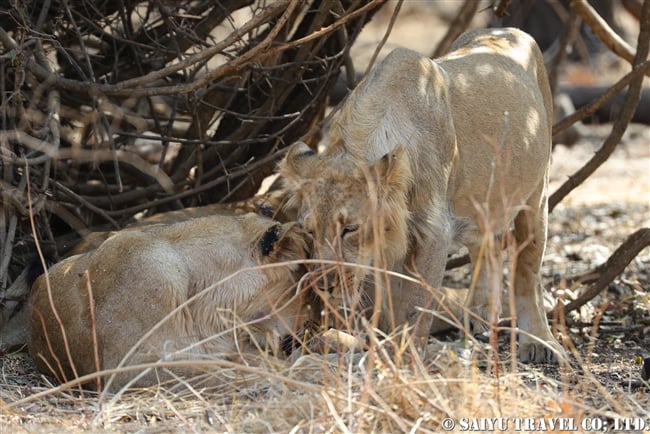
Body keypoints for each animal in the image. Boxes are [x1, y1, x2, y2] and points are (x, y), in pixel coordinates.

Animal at [280, 28, 560, 362]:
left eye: (350, 229)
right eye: (309, 231)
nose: (324, 285)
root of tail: (509, 30)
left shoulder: (433, 231)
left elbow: (415, 305)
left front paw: (406, 357)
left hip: (537, 194)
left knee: (528, 269)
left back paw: (538, 341)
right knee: (485, 247)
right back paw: (477, 313)